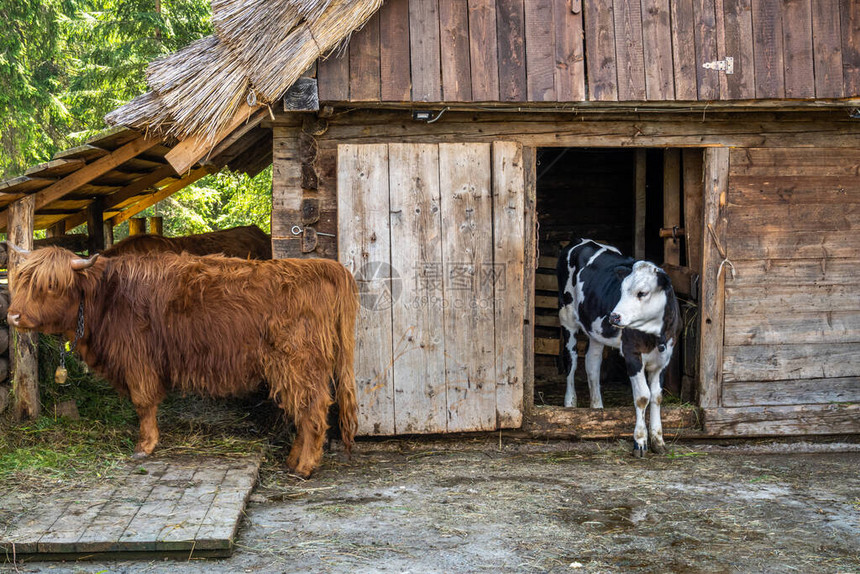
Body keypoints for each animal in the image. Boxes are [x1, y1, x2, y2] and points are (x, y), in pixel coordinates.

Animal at [6, 248, 358, 476]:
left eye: (50, 285)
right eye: (21, 281)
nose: (12, 315)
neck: (107, 297)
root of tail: (322, 267)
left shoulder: (137, 360)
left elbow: (143, 403)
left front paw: (144, 446)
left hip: (298, 362)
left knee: (313, 410)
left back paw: (305, 467)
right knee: (304, 410)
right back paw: (293, 460)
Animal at [556, 240, 680, 460]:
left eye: (642, 293)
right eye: (621, 291)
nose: (614, 316)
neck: (656, 334)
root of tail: (582, 241)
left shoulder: (665, 357)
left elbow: (657, 396)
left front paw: (658, 441)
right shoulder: (632, 354)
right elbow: (643, 396)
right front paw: (640, 442)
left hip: (595, 330)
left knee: (592, 363)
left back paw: (597, 408)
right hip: (567, 317)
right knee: (571, 360)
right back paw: (570, 403)